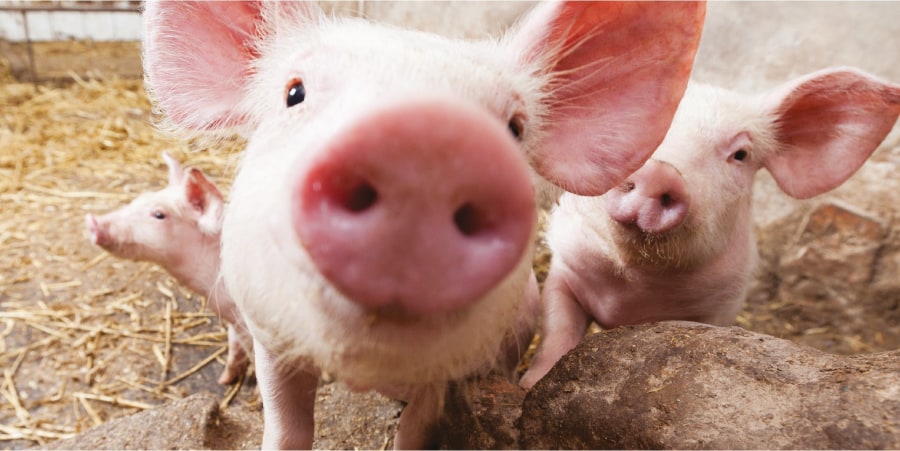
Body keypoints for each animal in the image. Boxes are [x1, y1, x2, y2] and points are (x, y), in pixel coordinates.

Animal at [85, 152, 251, 385]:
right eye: (138, 199)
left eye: (159, 215)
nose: (92, 220)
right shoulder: (234, 320)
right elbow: (235, 345)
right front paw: (224, 381)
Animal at [141, 1, 706, 448]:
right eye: (294, 93)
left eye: (514, 128)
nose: (425, 139)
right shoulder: (270, 339)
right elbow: (285, 428)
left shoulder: (448, 377)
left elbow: (414, 430)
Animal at [520, 67, 900, 389]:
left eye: (741, 155)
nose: (660, 172)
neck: (633, 290)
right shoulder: (566, 267)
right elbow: (558, 328)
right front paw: (530, 383)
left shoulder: (721, 305)